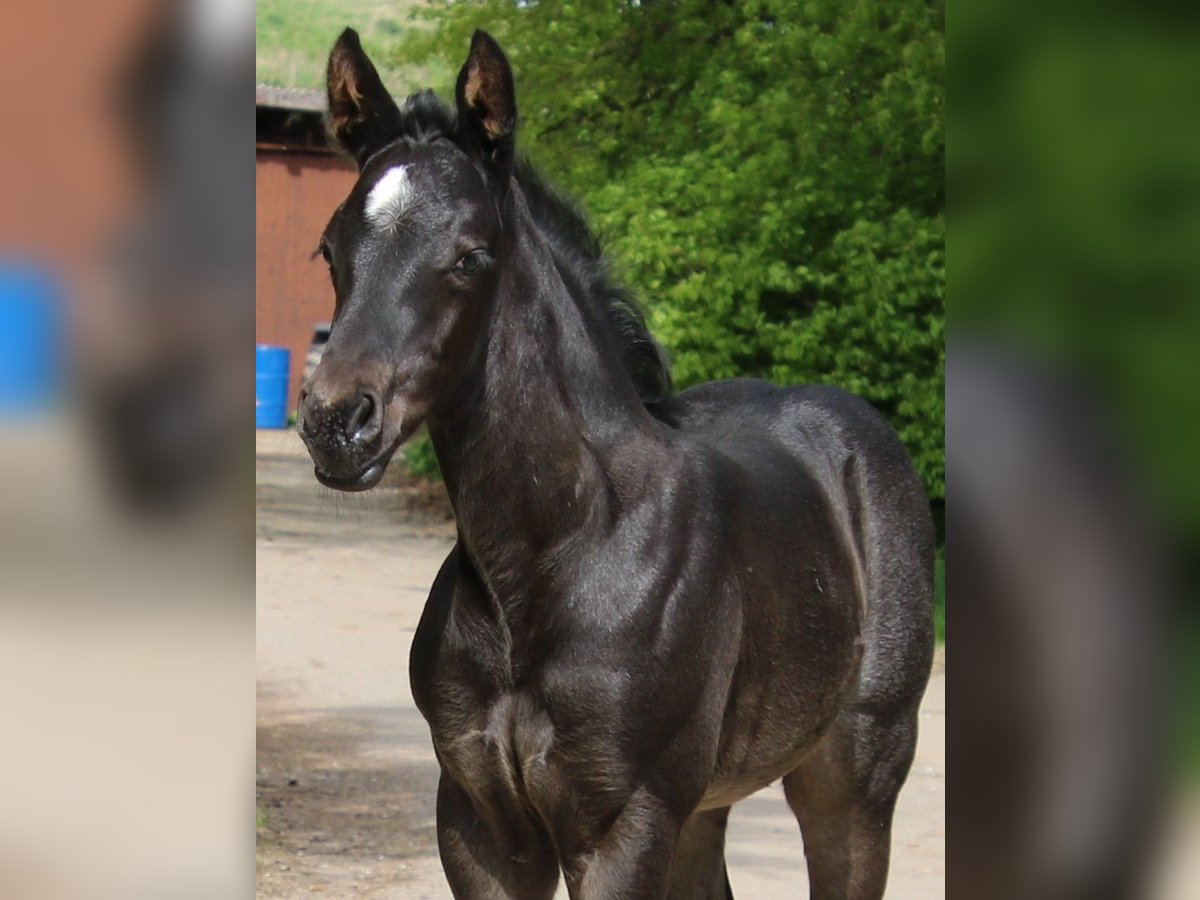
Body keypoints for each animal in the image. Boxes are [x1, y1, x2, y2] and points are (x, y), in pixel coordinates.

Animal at [300, 28, 936, 900]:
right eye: (331, 247)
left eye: (471, 256)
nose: (336, 422)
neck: (556, 554)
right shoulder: (477, 822)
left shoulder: (620, 823)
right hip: (703, 806)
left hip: (855, 776)